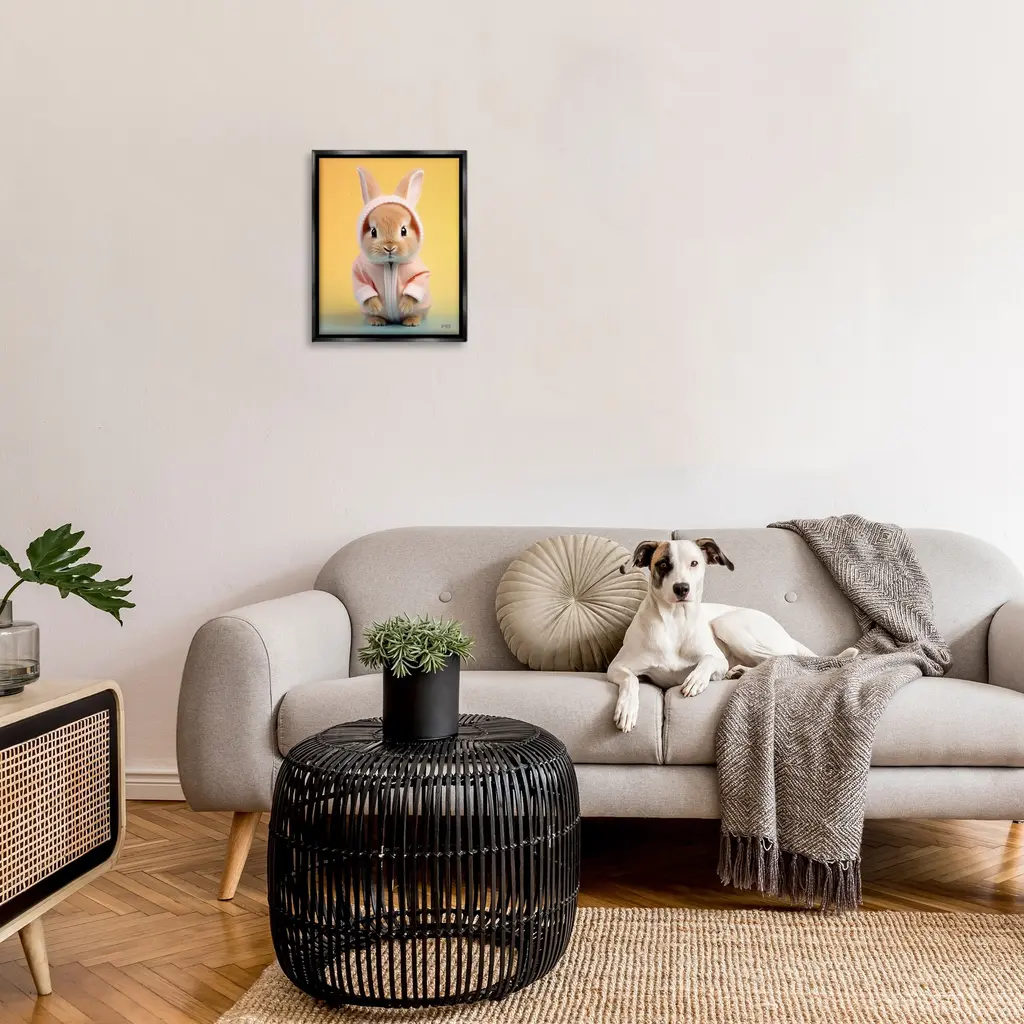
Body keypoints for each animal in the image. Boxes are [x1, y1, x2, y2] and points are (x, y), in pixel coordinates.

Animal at [351, 167, 432, 327]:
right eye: (373, 231)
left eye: (403, 230)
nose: (389, 247)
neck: (390, 264)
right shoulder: (359, 272)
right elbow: (366, 289)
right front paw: (376, 306)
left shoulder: (420, 272)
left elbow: (416, 284)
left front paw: (404, 306)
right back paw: (376, 320)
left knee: (418, 313)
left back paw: (411, 321)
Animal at [608, 537, 858, 732]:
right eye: (662, 564)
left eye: (694, 563)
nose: (682, 588)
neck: (675, 621)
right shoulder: (617, 667)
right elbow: (631, 680)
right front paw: (627, 709)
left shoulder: (718, 661)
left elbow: (709, 660)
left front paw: (696, 679)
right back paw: (740, 672)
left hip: (726, 623)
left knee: (782, 659)